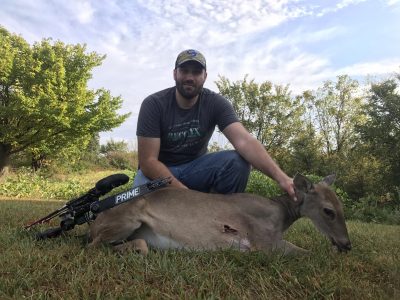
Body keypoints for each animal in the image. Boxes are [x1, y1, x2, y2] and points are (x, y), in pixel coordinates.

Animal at [87, 173, 350, 255]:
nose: (347, 244)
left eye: (342, 206)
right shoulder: (264, 242)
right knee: (93, 245)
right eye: (328, 210)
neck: (281, 217)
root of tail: (94, 220)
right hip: (128, 218)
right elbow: (307, 254)